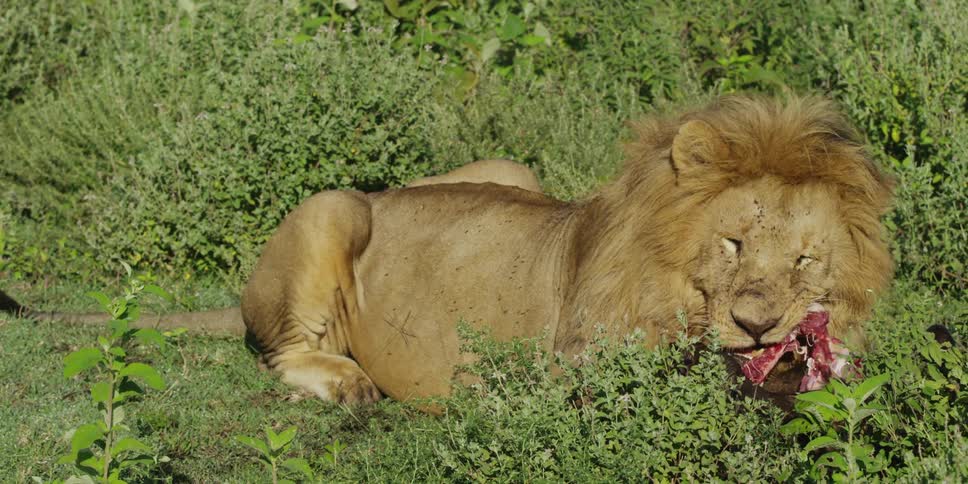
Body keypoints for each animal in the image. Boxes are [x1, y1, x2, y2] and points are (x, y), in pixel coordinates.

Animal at [2, 95, 895, 405]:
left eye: (805, 261)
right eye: (734, 241)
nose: (758, 323)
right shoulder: (573, 376)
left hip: (509, 168)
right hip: (331, 208)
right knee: (282, 348)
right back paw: (349, 385)